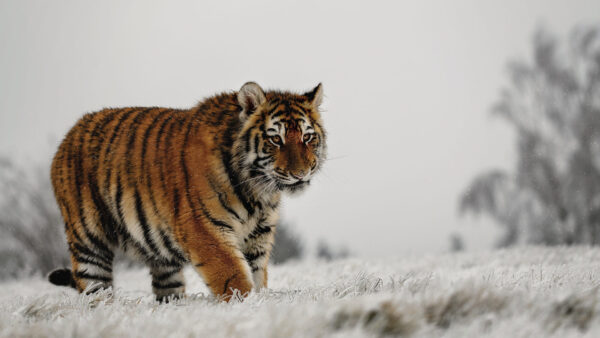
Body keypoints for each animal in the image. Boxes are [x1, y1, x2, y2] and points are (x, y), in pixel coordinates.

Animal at [47, 82, 326, 302]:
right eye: (276, 139)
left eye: (307, 137)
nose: (302, 173)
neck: (258, 192)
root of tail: (69, 134)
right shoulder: (204, 230)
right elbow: (234, 278)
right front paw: (248, 307)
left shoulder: (258, 237)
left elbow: (256, 277)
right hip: (88, 240)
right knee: (94, 290)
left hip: (161, 257)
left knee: (167, 290)